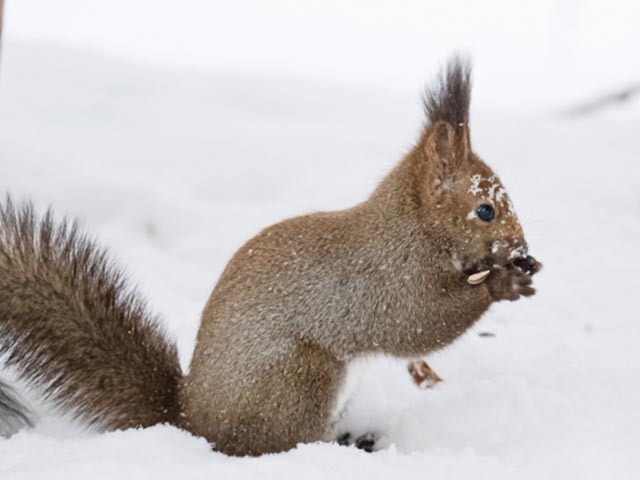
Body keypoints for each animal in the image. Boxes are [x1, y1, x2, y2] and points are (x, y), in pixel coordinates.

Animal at [0, 58, 540, 456]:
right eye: (486, 210)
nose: (523, 250)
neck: (412, 229)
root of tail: (191, 421)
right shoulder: (385, 281)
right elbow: (418, 323)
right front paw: (503, 284)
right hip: (301, 378)